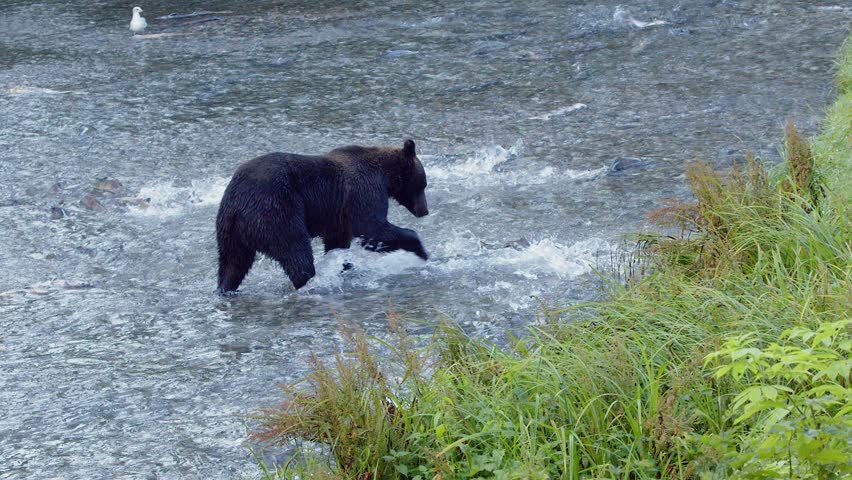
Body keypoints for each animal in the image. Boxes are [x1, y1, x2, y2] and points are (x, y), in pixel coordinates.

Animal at [216, 139, 429, 294]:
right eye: (423, 184)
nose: (424, 210)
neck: (386, 176)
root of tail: (237, 204)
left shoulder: (339, 215)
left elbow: (338, 242)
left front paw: (345, 267)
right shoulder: (363, 190)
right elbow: (371, 228)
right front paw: (421, 251)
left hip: (230, 230)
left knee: (233, 263)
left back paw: (225, 289)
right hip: (276, 208)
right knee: (295, 250)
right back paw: (309, 282)